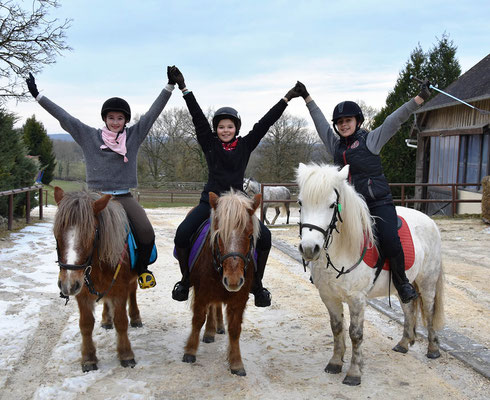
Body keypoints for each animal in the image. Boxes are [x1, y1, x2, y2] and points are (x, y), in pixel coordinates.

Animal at [54, 188, 142, 372]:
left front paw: (126, 354)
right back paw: (106, 320)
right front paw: (88, 358)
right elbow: (86, 325)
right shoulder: (82, 292)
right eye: (56, 234)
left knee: (133, 293)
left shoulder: (120, 289)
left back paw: (136, 317)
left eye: (91, 234)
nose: (68, 285)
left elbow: (121, 321)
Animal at [183, 189, 260, 376]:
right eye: (218, 235)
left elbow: (235, 329)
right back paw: (210, 331)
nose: (233, 280)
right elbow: (198, 320)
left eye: (249, 235)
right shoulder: (202, 292)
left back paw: (216, 327)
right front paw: (190, 351)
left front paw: (236, 363)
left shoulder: (240, 298)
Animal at [294, 162, 444, 384]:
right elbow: (337, 328)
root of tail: (430, 221)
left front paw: (354, 373)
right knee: (409, 308)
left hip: (427, 282)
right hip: (402, 285)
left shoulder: (357, 299)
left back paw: (433, 349)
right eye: (301, 202)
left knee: (429, 310)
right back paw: (404, 343)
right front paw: (335, 363)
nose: (309, 248)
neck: (343, 249)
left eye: (332, 205)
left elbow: (356, 334)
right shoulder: (329, 297)